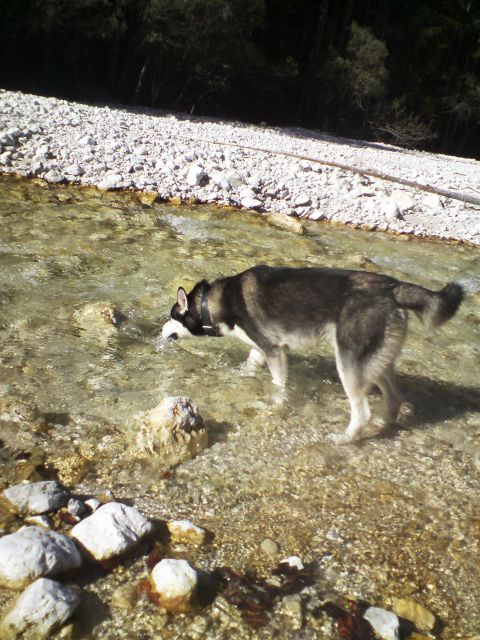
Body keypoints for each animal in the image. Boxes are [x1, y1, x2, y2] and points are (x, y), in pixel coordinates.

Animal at [162, 264, 464, 440]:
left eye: (171, 315)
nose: (161, 330)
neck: (211, 304)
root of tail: (391, 286)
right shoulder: (261, 349)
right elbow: (249, 366)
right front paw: (238, 377)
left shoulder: (274, 351)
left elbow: (279, 385)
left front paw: (277, 405)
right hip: (376, 363)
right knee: (394, 396)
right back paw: (382, 423)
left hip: (348, 364)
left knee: (361, 410)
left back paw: (346, 438)